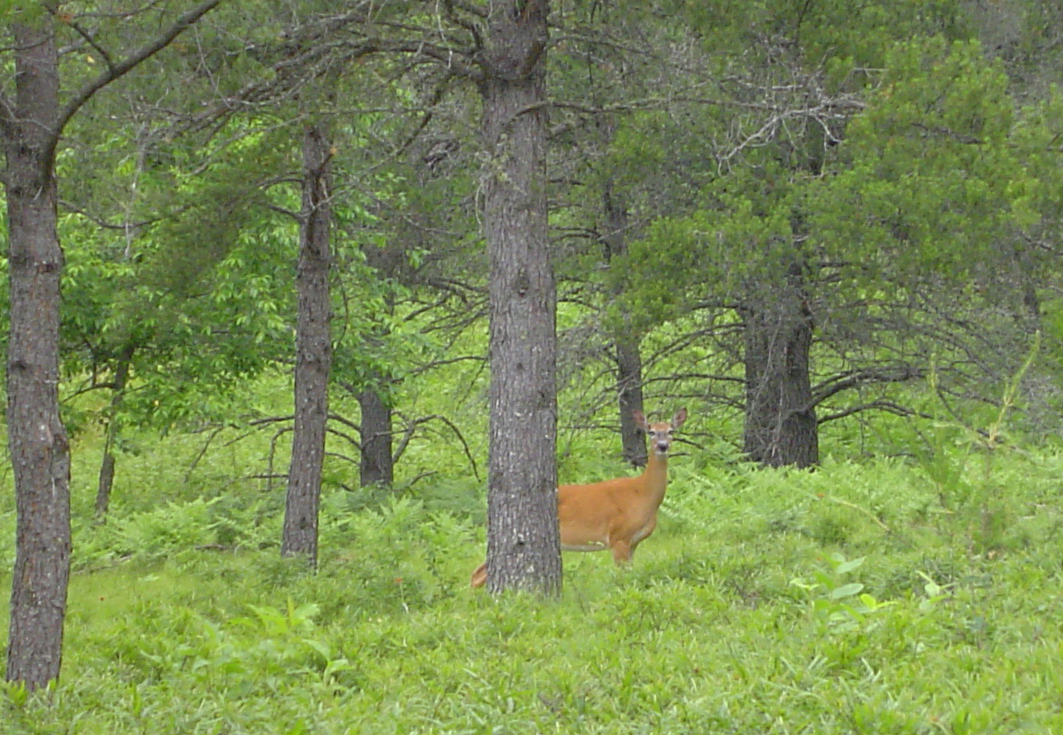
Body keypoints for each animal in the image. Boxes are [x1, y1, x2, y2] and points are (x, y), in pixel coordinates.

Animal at [470, 407, 687, 588]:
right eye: (651, 431)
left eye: (671, 431)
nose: (662, 446)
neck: (642, 494)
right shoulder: (618, 537)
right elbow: (621, 576)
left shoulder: (633, 541)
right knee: (477, 574)